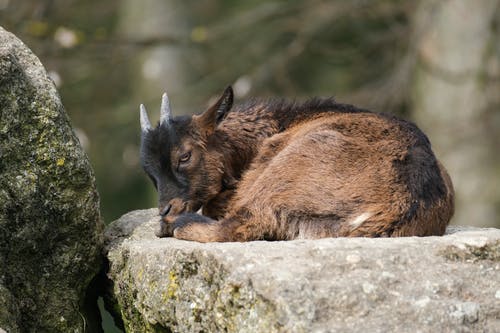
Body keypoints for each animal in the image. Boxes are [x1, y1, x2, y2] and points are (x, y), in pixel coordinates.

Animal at [139, 85, 456, 241]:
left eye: (184, 156)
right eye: (148, 170)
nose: (166, 208)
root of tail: (397, 208)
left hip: (281, 172)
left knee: (239, 226)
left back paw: (175, 224)